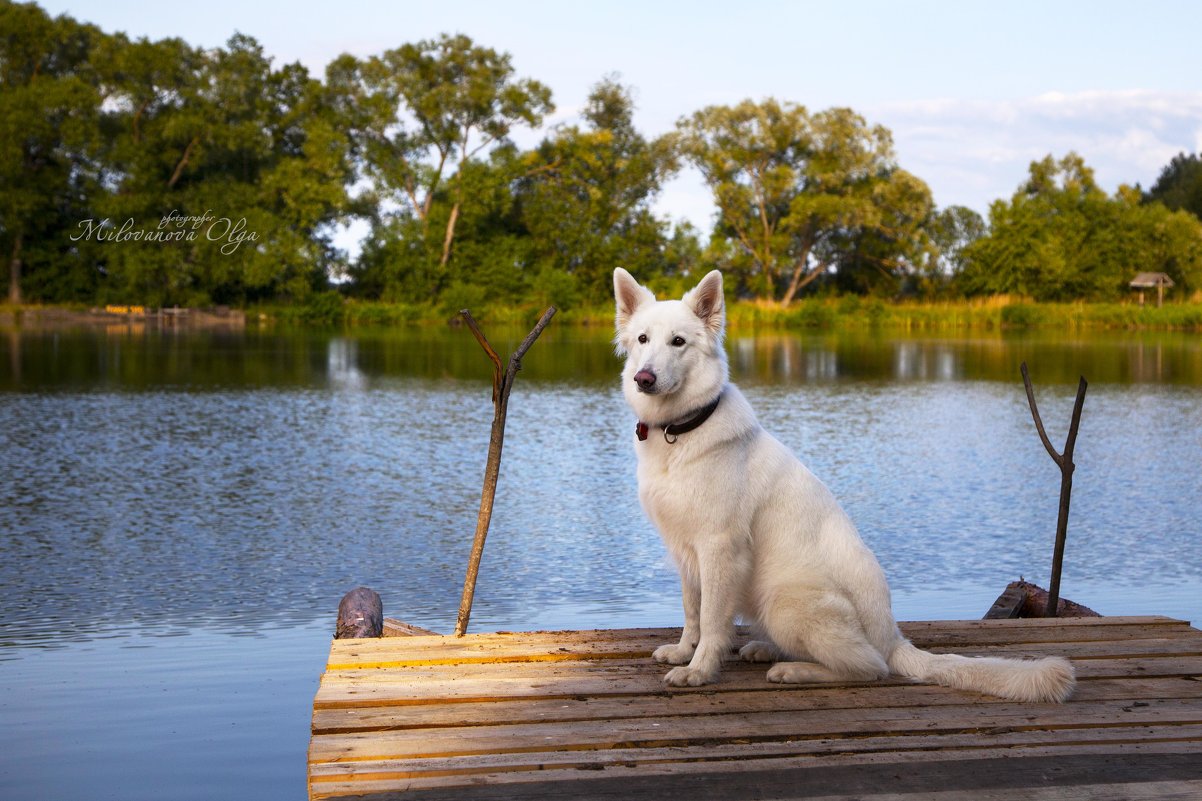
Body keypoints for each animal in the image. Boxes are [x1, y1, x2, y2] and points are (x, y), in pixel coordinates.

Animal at [615, 268, 1076, 697]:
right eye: (642, 339)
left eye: (678, 342)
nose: (644, 378)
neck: (682, 429)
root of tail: (892, 638)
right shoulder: (686, 553)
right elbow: (692, 611)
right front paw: (684, 651)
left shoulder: (719, 550)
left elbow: (712, 619)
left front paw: (699, 670)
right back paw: (768, 650)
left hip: (783, 599)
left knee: (870, 667)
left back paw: (795, 670)